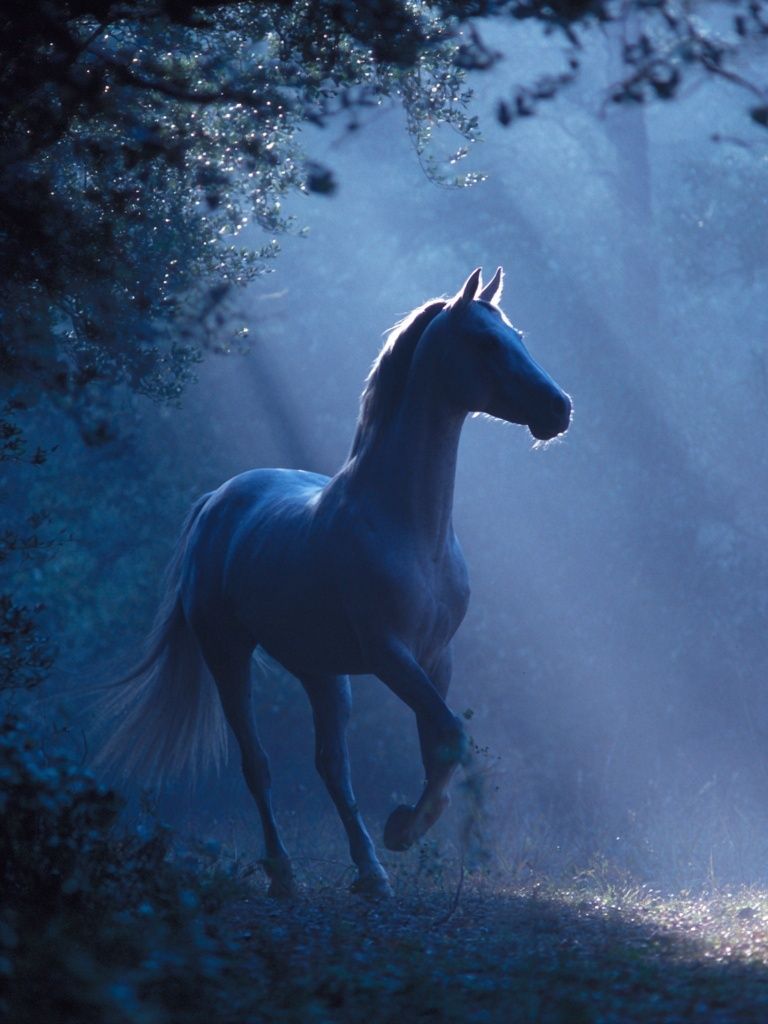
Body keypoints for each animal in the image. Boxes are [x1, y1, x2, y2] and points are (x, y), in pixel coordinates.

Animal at [98, 267, 572, 898]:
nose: (559, 408)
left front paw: (406, 828)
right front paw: (404, 829)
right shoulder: (390, 654)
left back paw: (370, 872)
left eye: (516, 336)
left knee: (331, 767)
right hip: (229, 655)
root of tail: (217, 500)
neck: (407, 526)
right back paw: (283, 873)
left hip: (321, 673)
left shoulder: (435, 657)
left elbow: (440, 745)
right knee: (258, 765)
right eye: (485, 343)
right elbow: (448, 731)